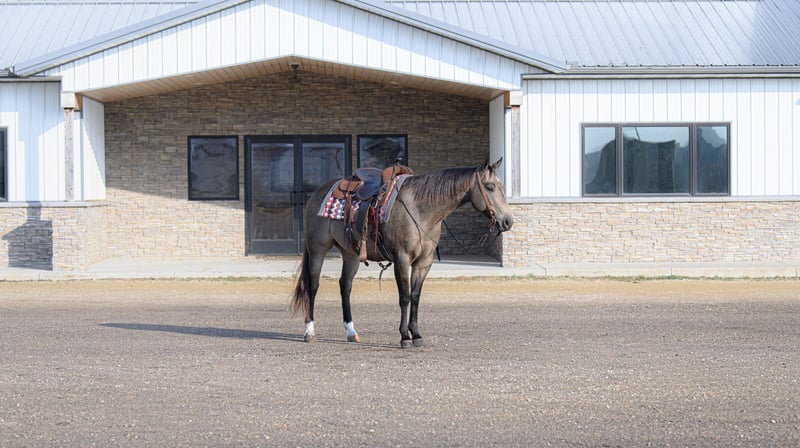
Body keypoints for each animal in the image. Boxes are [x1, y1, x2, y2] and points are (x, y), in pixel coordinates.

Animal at [291, 158, 513, 348]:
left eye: (503, 187)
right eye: (490, 186)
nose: (508, 221)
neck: (421, 210)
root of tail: (319, 191)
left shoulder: (424, 262)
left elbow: (415, 297)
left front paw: (417, 335)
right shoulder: (402, 259)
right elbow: (404, 297)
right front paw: (405, 337)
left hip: (351, 253)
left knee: (345, 286)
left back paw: (351, 332)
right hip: (318, 248)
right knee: (313, 286)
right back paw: (309, 331)